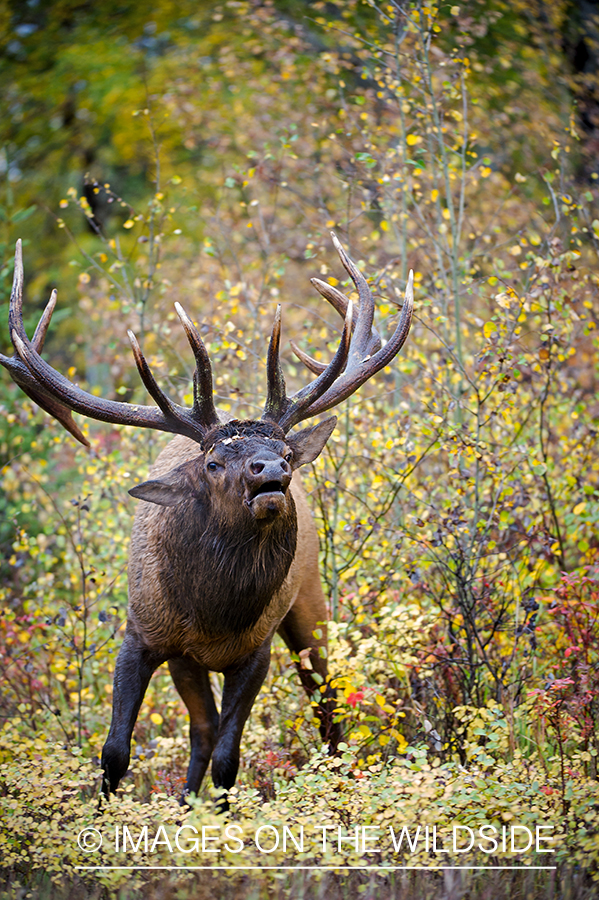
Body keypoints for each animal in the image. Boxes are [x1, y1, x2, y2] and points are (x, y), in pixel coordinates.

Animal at [1, 236, 412, 804]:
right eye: (214, 463)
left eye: (286, 450)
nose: (272, 470)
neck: (212, 614)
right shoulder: (143, 634)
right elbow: (115, 750)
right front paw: (105, 810)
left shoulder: (256, 650)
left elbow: (227, 756)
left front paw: (219, 811)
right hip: (186, 660)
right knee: (201, 726)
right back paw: (183, 801)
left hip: (309, 603)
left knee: (324, 703)